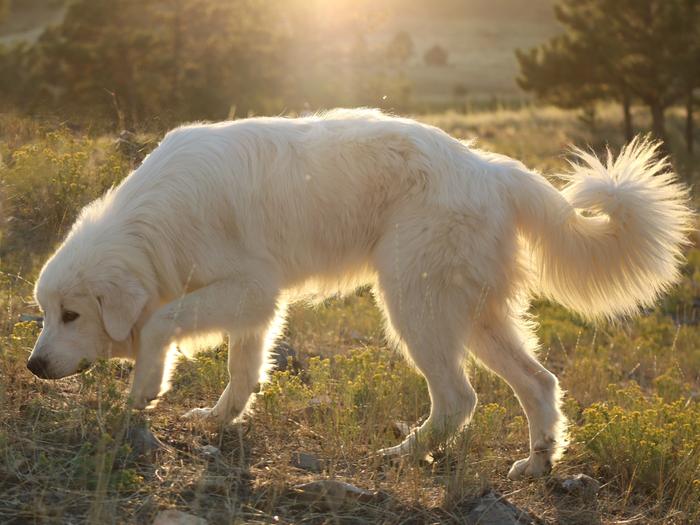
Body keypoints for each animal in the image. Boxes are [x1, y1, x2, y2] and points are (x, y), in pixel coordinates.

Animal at [26, 108, 688, 476]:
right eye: (45, 314)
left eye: (71, 315)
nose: (33, 366)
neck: (155, 223)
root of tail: (491, 168)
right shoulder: (257, 307)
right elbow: (243, 371)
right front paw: (219, 417)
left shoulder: (249, 290)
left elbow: (161, 324)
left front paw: (144, 390)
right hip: (475, 317)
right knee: (540, 383)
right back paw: (538, 463)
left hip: (415, 306)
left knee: (459, 398)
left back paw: (406, 456)